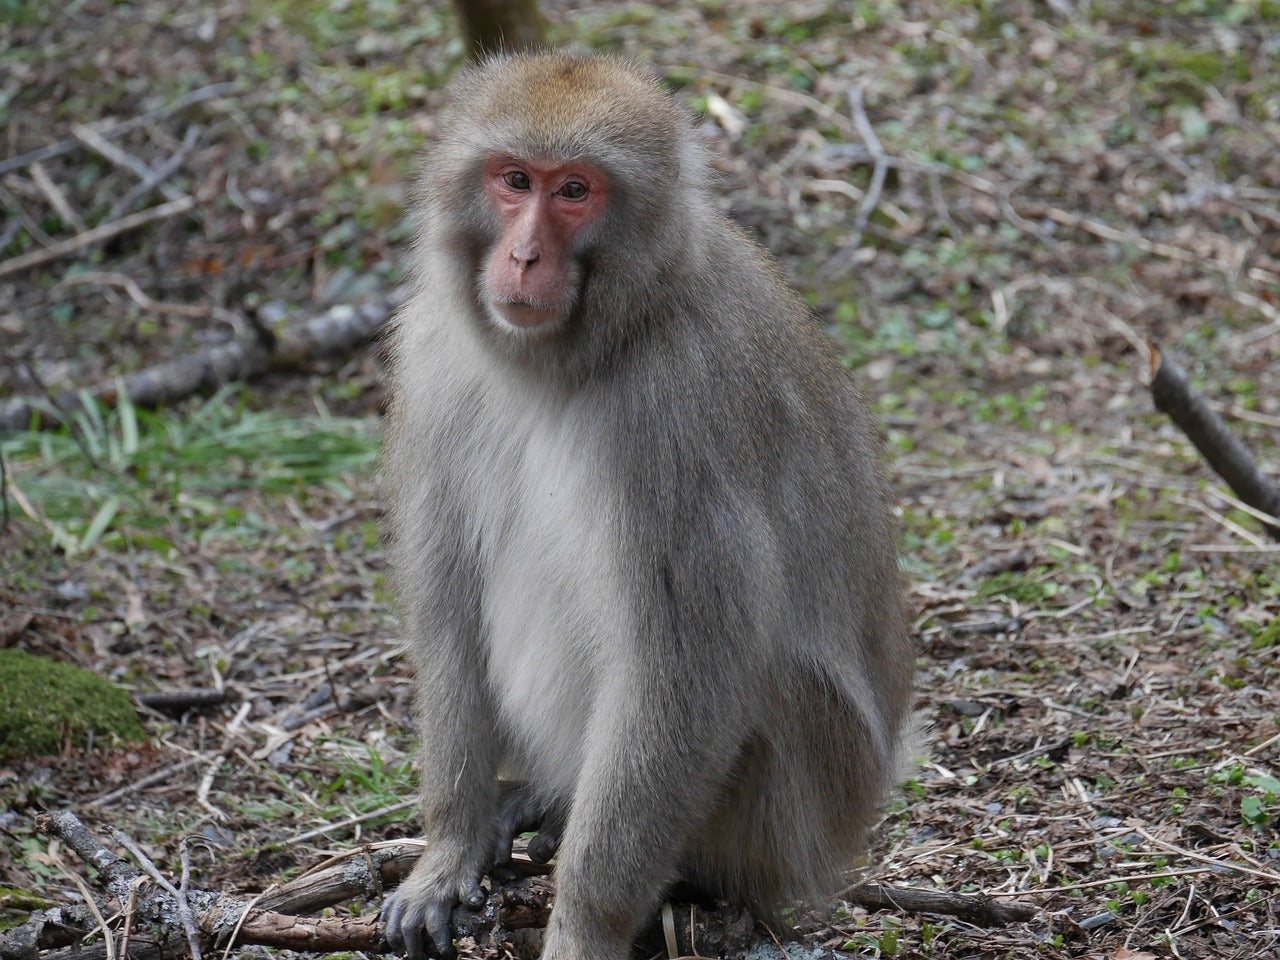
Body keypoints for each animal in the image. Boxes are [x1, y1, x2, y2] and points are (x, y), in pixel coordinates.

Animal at [376, 56, 911, 960]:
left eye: (574, 191)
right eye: (514, 180)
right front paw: (446, 850)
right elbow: (448, 602)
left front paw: (583, 927)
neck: (576, 353)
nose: (523, 255)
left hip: (796, 804)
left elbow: (682, 670)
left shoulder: (677, 413)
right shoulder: (435, 354)